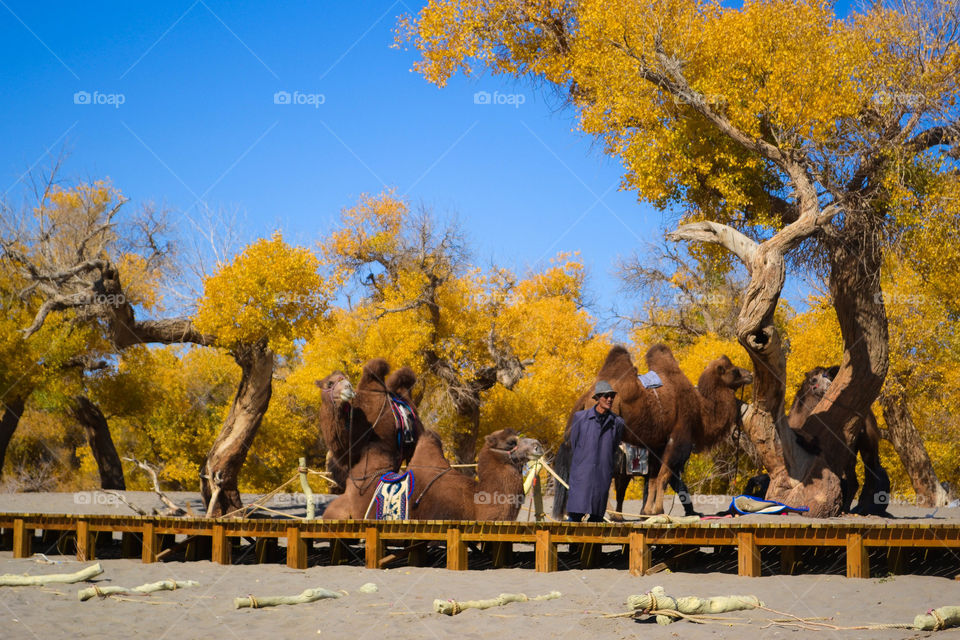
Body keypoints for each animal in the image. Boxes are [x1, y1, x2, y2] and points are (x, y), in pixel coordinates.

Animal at [552, 345, 752, 518]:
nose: (749, 374)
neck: (701, 411)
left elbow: (654, 478)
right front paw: (659, 511)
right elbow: (664, 475)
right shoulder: (678, 438)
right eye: (734, 370)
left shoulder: (657, 444)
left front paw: (648, 512)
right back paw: (610, 515)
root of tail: (585, 397)